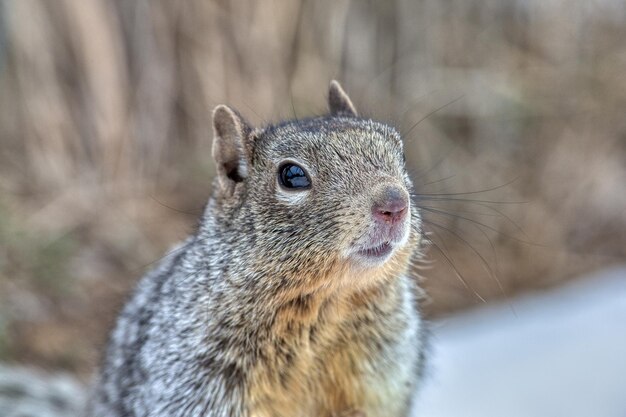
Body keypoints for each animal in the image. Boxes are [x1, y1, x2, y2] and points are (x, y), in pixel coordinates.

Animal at [86, 81, 424, 416]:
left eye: (402, 154)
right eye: (292, 176)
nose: (395, 204)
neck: (325, 302)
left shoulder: (379, 374)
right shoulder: (198, 374)